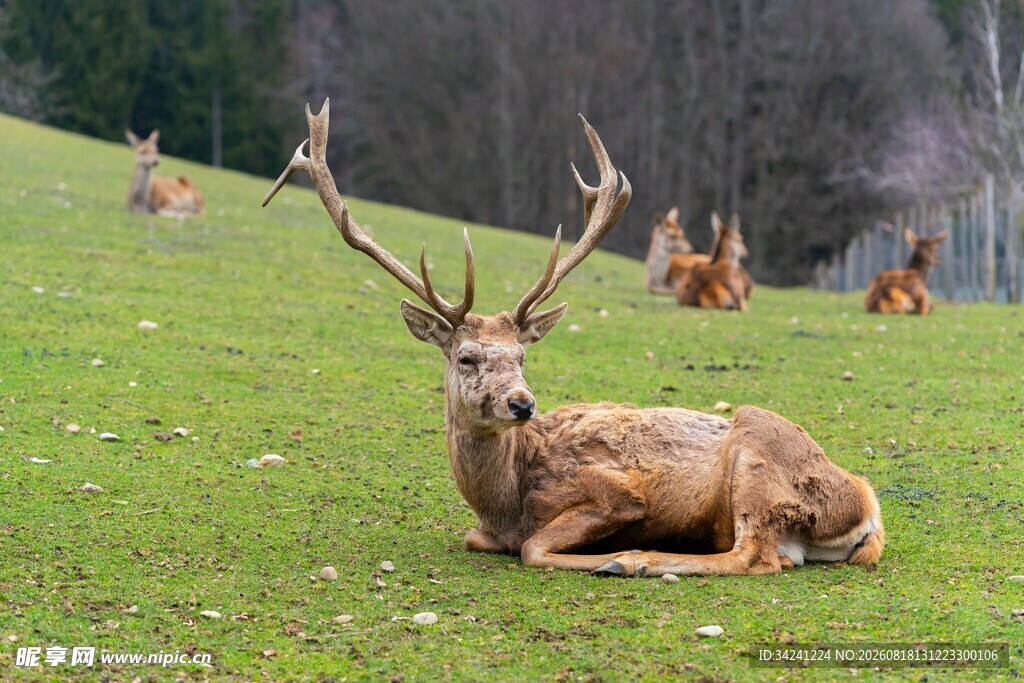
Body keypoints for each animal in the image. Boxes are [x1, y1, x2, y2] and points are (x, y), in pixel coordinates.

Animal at [263, 100, 884, 577]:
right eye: (466, 357)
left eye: (522, 355)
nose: (522, 403)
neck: (506, 499)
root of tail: (867, 506)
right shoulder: (486, 528)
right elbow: (476, 537)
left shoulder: (617, 491)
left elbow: (534, 547)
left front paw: (609, 554)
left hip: (757, 457)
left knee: (755, 556)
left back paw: (634, 560)